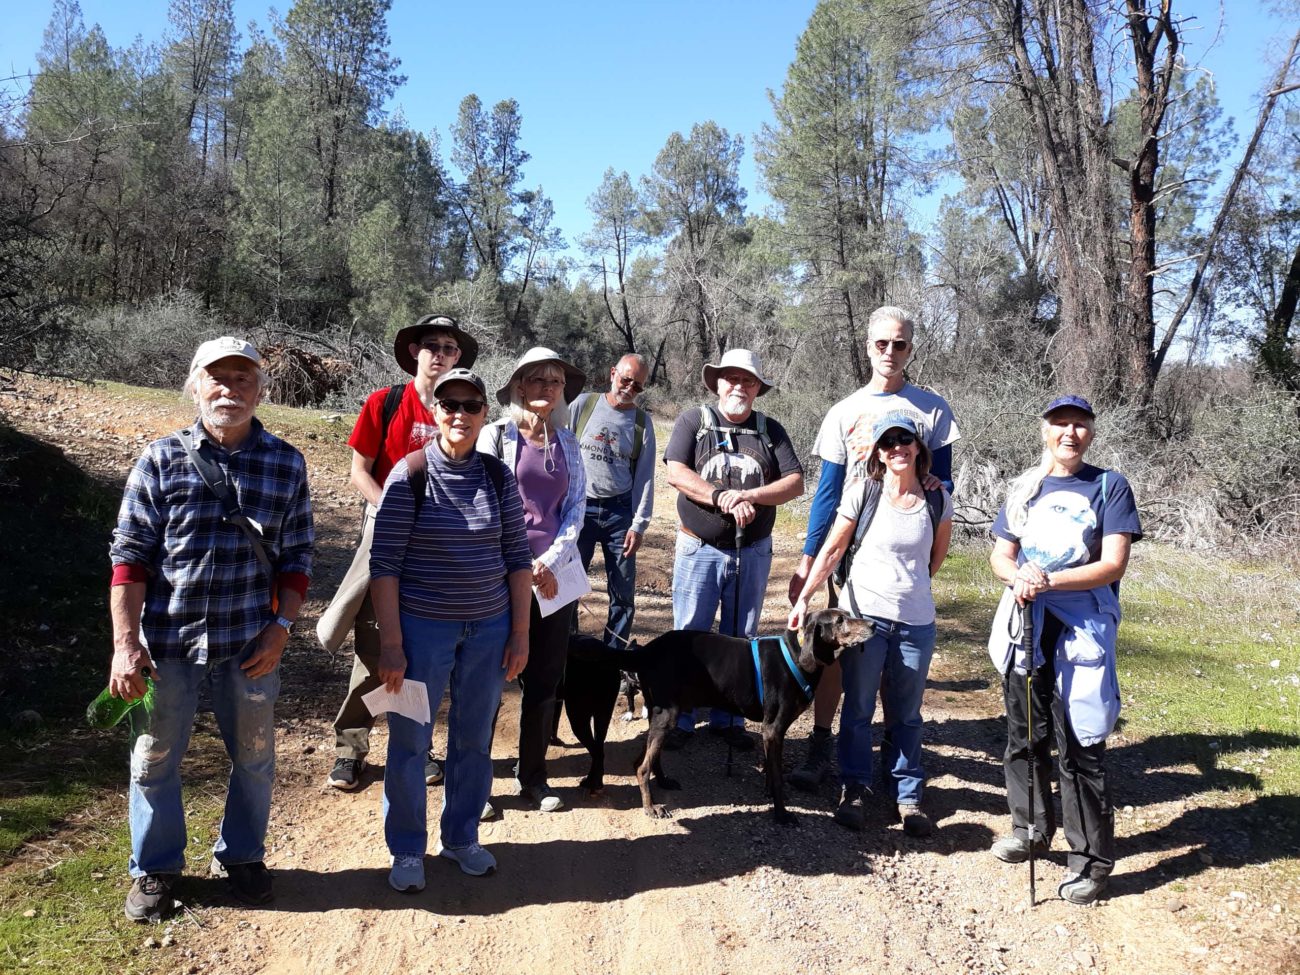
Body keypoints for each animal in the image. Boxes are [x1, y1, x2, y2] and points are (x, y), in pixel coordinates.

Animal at [621, 611, 873, 826]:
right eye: (840, 620)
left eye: (848, 614)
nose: (872, 625)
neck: (797, 654)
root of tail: (647, 650)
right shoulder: (773, 728)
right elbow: (778, 777)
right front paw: (781, 814)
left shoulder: (773, 732)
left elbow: (772, 771)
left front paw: (770, 793)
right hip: (668, 715)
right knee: (642, 767)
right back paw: (651, 808)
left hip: (660, 714)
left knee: (646, 757)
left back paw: (663, 781)